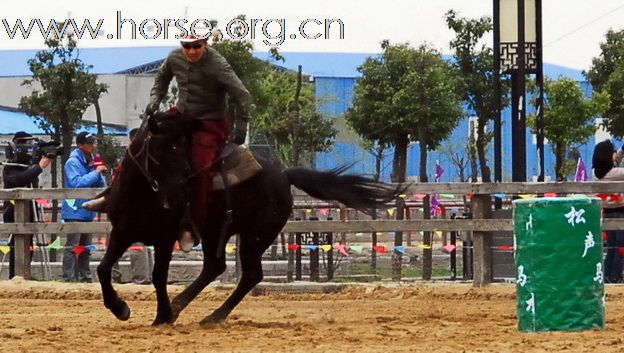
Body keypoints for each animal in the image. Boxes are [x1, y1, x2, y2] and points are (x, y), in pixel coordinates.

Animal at [95, 110, 402, 324]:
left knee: (250, 274)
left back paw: (213, 315)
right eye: (160, 149)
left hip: (255, 236)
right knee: (215, 267)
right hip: (217, 232)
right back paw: (183, 305)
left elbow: (158, 276)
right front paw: (120, 308)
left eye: (182, 149)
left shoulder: (165, 238)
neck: (143, 194)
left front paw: (162, 316)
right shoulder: (121, 232)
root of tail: (283, 175)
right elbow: (103, 269)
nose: (177, 193)